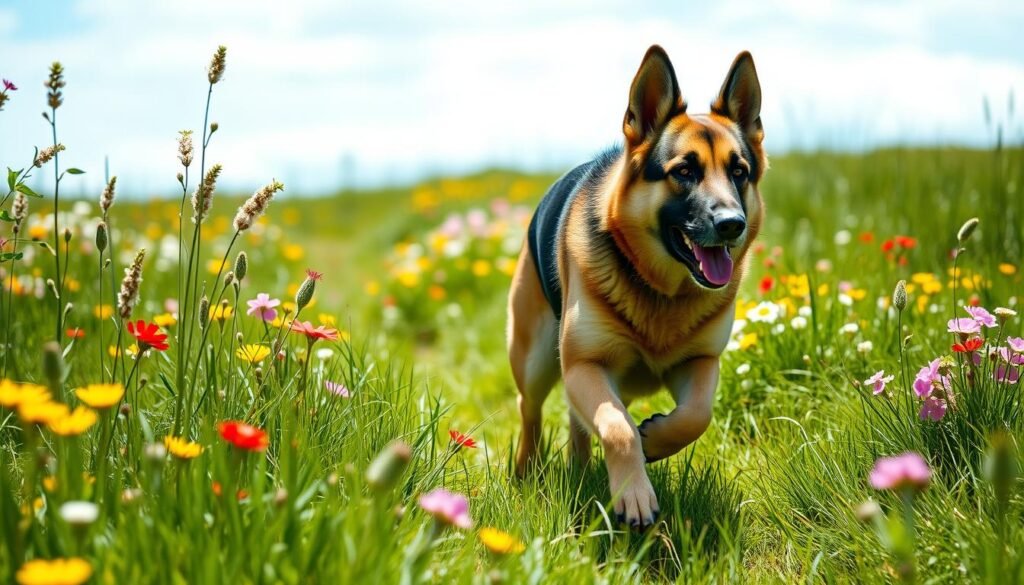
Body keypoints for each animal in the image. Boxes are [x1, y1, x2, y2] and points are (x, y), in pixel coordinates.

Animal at [507, 45, 765, 528]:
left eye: (739, 172)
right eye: (684, 171)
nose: (732, 224)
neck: (660, 290)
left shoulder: (701, 362)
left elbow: (696, 415)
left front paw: (657, 439)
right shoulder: (585, 365)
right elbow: (617, 426)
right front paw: (633, 491)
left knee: (577, 422)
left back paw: (580, 467)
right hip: (536, 361)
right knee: (529, 410)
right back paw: (527, 471)